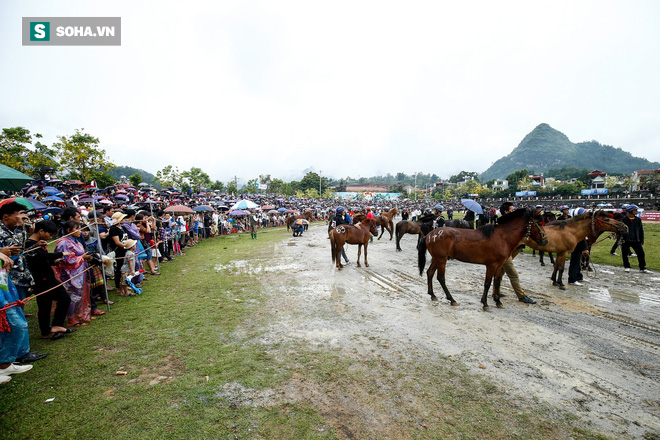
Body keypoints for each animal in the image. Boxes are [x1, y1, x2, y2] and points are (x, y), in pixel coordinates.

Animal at [418, 209, 548, 310]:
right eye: (538, 223)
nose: (545, 240)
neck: (502, 237)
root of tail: (430, 235)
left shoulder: (500, 265)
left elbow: (497, 281)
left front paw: (498, 301)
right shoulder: (491, 265)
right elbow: (487, 283)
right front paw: (485, 303)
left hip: (437, 259)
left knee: (429, 273)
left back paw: (433, 295)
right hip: (441, 259)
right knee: (441, 278)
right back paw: (452, 299)